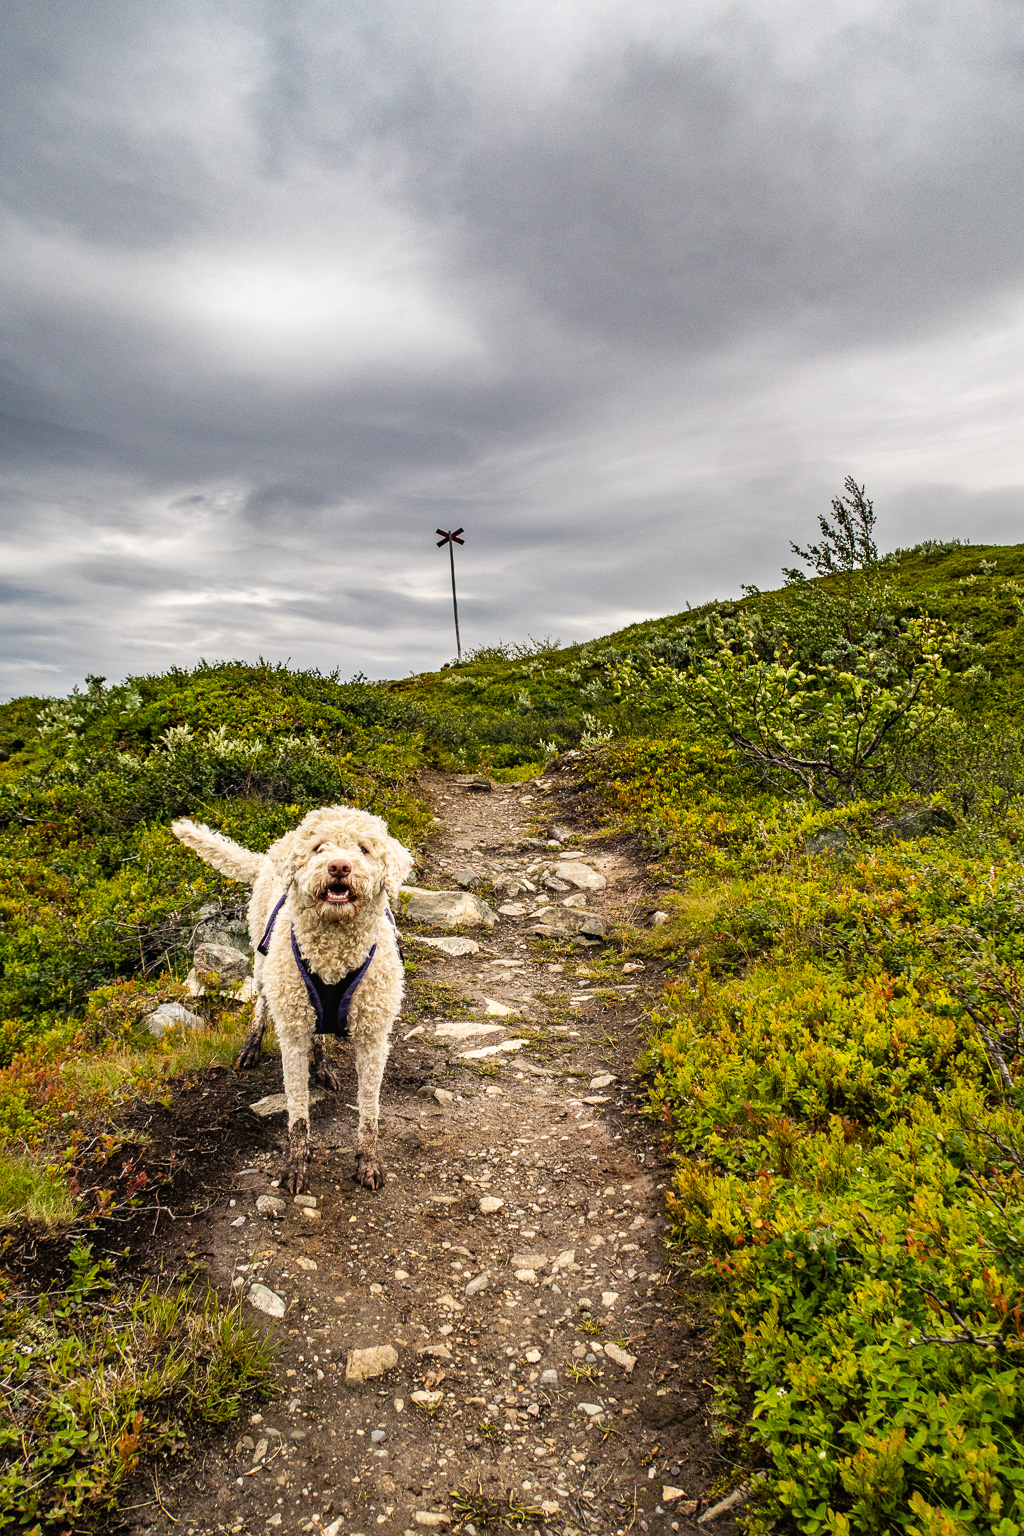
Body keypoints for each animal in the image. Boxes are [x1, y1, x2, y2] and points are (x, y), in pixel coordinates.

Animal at [174, 811, 414, 1191]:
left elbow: (370, 1112)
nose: (339, 867)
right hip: (265, 963)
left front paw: (369, 1161)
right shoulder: (293, 1035)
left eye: (363, 849)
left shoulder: (373, 1037)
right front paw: (296, 1163)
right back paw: (251, 1046)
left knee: (318, 1033)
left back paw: (324, 1066)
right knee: (261, 1003)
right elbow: (298, 1112)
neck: (333, 951)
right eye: (318, 847)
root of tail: (266, 859)